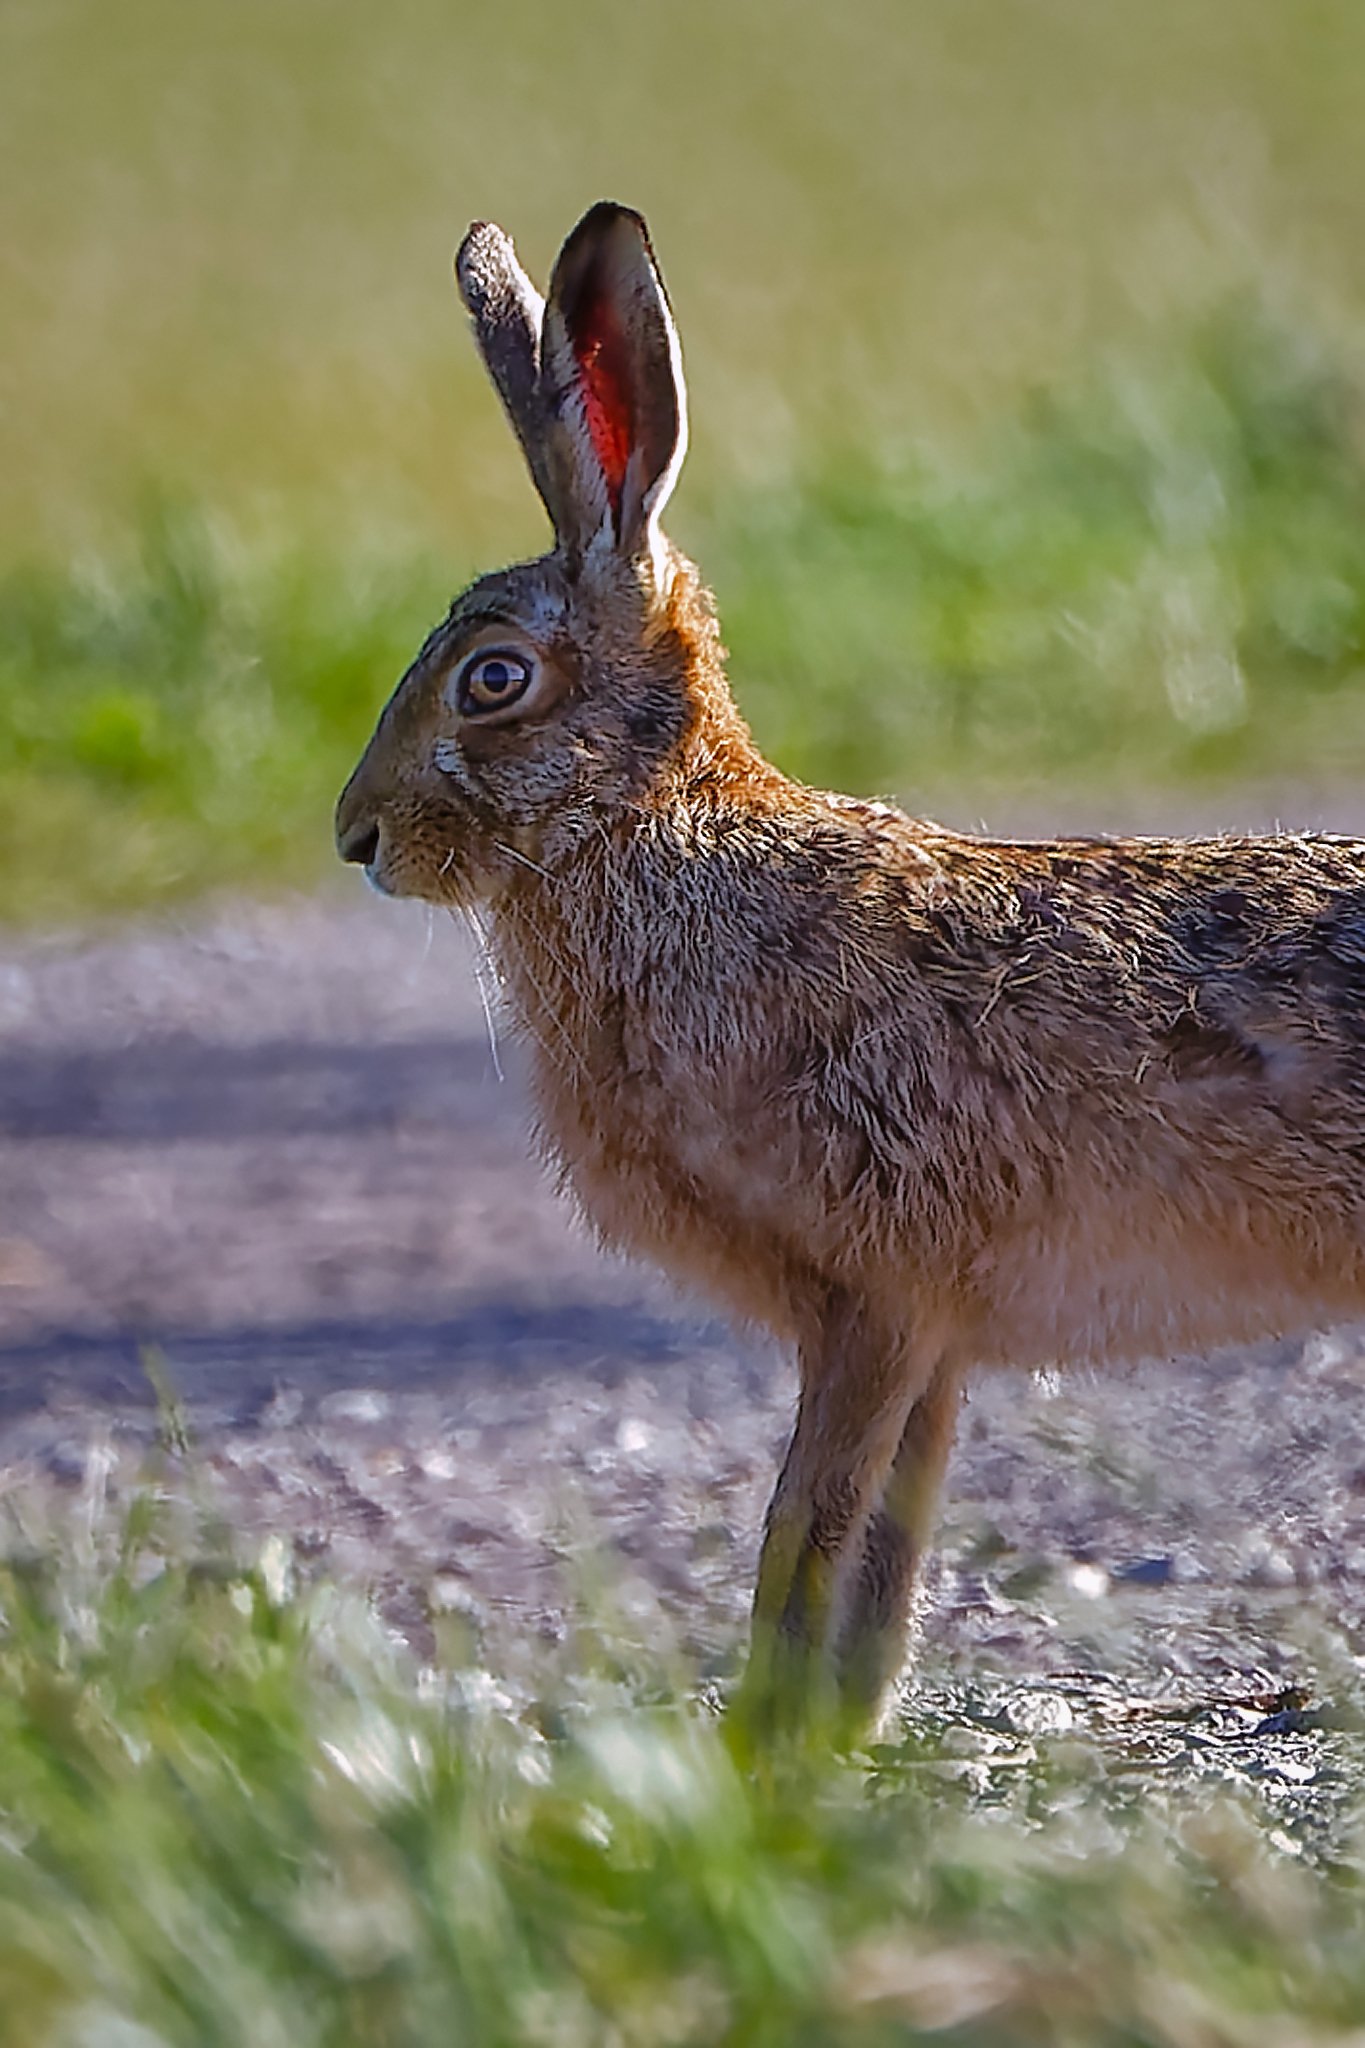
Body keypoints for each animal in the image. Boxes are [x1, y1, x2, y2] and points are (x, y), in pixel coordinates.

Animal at [336, 200, 1365, 1735]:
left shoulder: (876, 1293)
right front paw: (834, 1747)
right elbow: (886, 1553)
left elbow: (806, 1530)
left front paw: (762, 1749)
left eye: (494, 679)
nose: (358, 837)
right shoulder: (930, 1335)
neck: (653, 831)